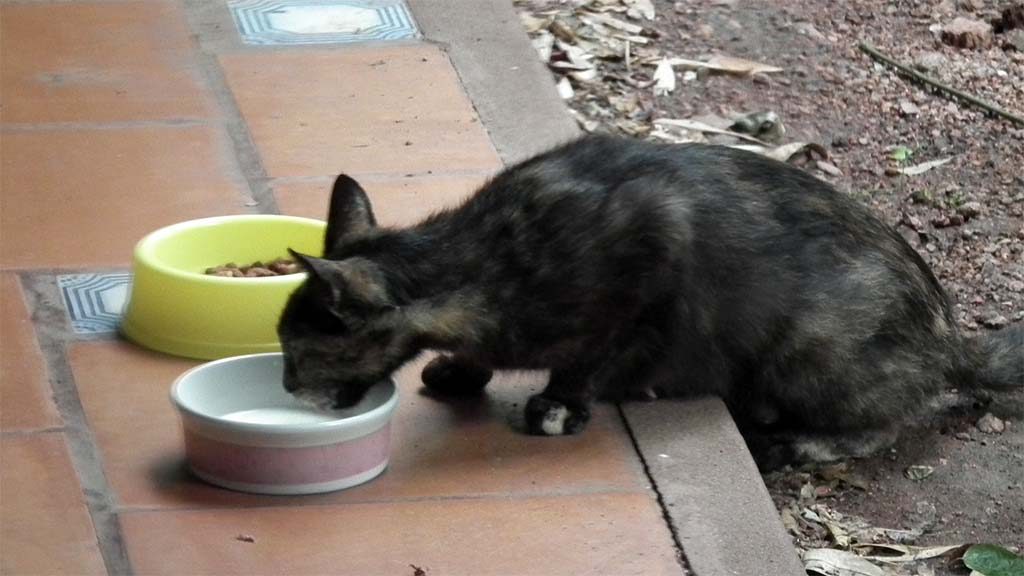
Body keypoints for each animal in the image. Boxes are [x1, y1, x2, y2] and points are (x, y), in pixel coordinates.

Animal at [276, 133, 1019, 467]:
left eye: (297, 349)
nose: (283, 384)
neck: (482, 263)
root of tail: (950, 334)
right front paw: (462, 368)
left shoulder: (653, 256)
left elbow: (591, 356)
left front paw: (559, 404)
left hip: (813, 348)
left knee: (892, 417)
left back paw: (812, 441)